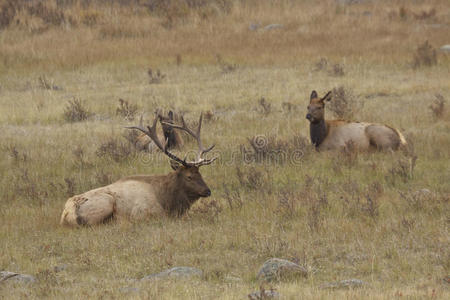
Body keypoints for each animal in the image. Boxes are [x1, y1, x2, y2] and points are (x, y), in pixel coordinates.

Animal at [60, 113, 217, 226]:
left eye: (200, 173)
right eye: (189, 176)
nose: (208, 191)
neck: (167, 200)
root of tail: (67, 214)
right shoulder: (145, 212)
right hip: (106, 202)